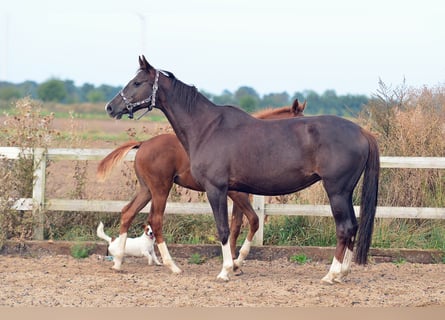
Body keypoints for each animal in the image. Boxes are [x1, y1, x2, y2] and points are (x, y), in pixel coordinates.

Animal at [97, 101, 306, 274]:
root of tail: (143, 143)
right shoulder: (236, 193)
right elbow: (247, 222)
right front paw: (234, 264)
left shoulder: (238, 194)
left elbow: (236, 225)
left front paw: (233, 264)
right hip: (159, 189)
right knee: (154, 220)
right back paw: (172, 266)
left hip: (146, 190)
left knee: (128, 212)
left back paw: (118, 262)